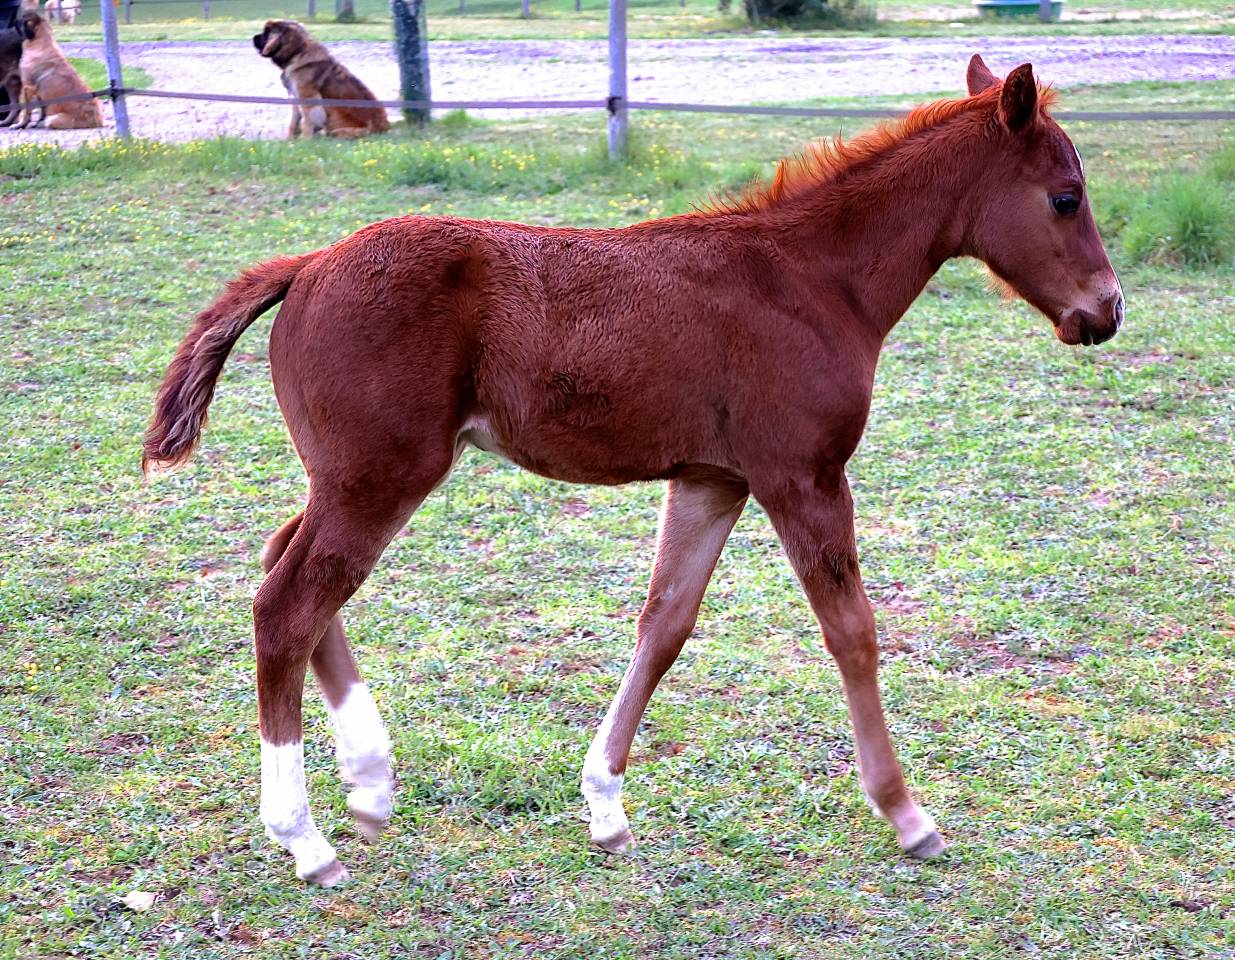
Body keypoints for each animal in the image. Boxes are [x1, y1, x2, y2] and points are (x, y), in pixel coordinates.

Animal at [144, 55, 1124, 886]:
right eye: (1065, 196)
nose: (1106, 311)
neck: (811, 281)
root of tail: (308, 263)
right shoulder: (801, 475)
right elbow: (851, 630)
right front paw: (905, 814)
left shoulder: (713, 479)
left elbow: (665, 625)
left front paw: (605, 807)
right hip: (380, 475)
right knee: (288, 604)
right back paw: (306, 839)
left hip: (350, 475)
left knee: (290, 569)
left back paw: (372, 782)